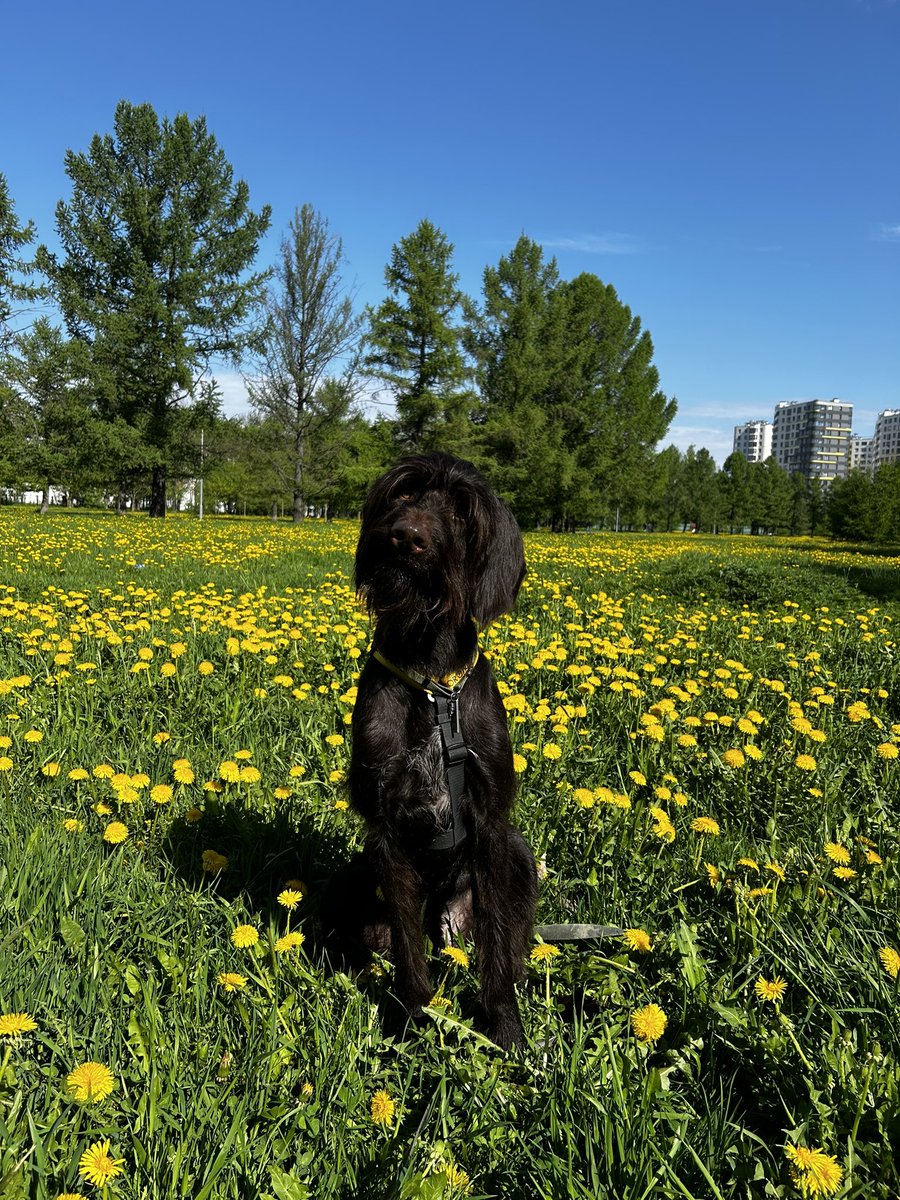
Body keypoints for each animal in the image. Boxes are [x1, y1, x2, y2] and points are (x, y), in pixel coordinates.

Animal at [328, 451, 535, 1051]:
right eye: (402, 493)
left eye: (463, 511)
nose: (406, 536)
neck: (431, 681)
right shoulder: (386, 829)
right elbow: (405, 945)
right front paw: (414, 1017)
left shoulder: (491, 823)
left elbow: (496, 940)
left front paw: (504, 1025)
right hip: (357, 873)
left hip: (518, 854)